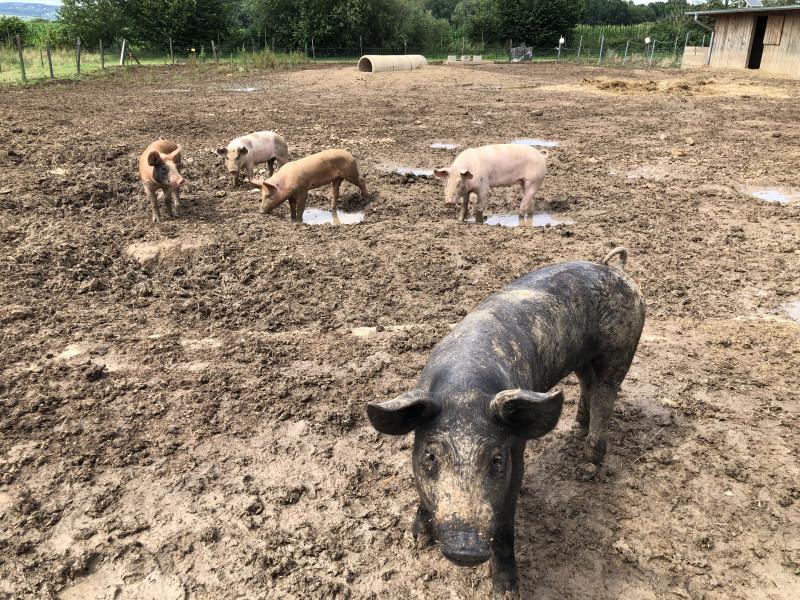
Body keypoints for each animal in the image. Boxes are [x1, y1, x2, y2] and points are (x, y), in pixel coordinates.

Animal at [368, 248, 644, 596]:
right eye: (430, 456)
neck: (465, 387)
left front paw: (507, 590)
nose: (465, 549)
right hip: (585, 358)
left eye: (497, 460)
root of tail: (618, 270)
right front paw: (417, 542)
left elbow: (504, 525)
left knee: (606, 395)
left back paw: (587, 466)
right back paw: (577, 429)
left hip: (621, 349)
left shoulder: (517, 456)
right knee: (588, 384)